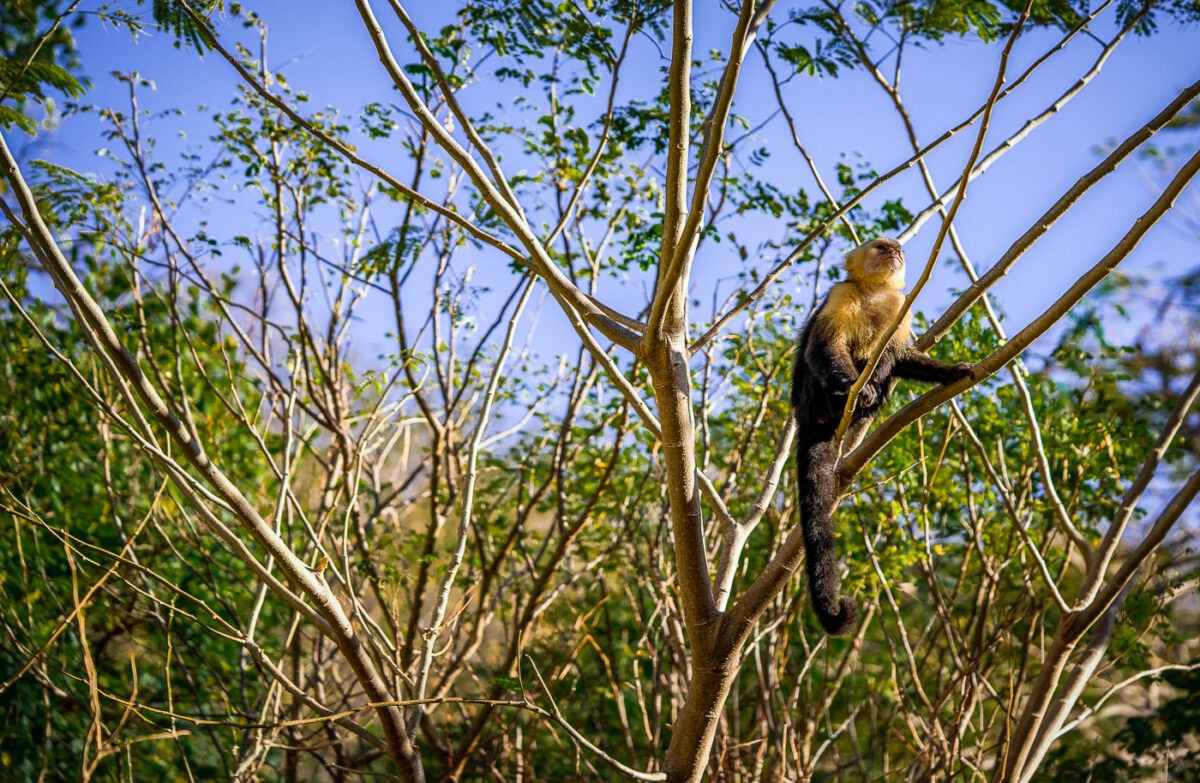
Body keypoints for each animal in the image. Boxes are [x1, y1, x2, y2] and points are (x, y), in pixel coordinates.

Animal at [787, 240, 974, 634]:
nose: (895, 253)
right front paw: (853, 386)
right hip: (811, 400)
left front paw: (951, 371)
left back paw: (870, 399)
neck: (872, 294)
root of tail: (806, 418)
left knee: (882, 359)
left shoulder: (899, 308)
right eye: (881, 248)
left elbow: (900, 355)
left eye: (895, 248)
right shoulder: (840, 294)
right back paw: (850, 398)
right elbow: (823, 347)